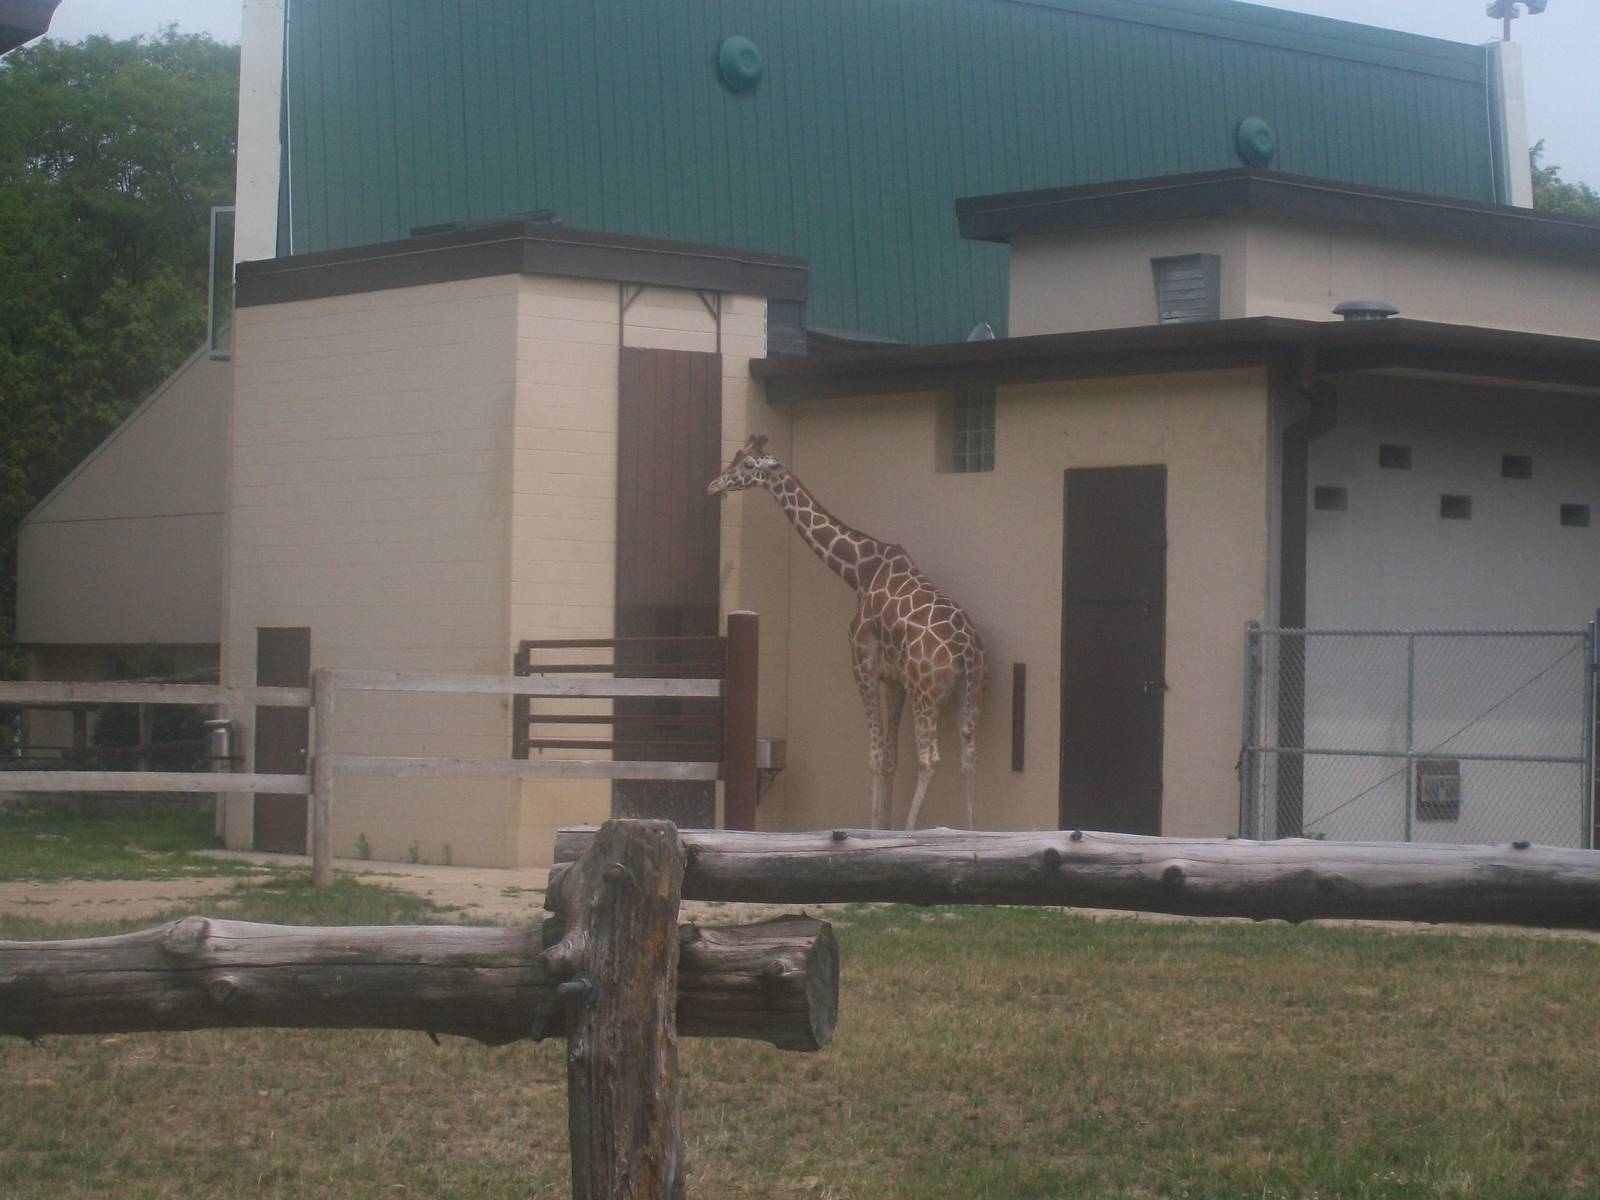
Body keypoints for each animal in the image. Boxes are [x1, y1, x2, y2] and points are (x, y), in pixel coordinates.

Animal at [708, 434, 986, 830]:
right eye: (735, 456)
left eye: (747, 465)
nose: (714, 485)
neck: (859, 571)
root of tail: (965, 647)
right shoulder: (895, 680)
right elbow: (890, 757)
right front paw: (881, 825)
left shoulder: (862, 662)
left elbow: (875, 756)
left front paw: (876, 828)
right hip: (969, 692)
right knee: (968, 755)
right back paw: (970, 829)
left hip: (927, 693)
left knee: (930, 757)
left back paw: (914, 829)